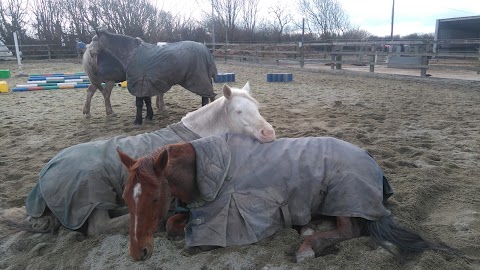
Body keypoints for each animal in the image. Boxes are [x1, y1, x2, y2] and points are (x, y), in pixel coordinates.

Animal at [3, 82, 276, 236]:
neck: (196, 137)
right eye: (239, 112)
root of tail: (45, 172)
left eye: (258, 109)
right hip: (92, 194)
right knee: (99, 227)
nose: (269, 133)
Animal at [90, 29, 218, 126]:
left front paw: (137, 121)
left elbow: (139, 103)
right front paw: (148, 117)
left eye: (94, 40)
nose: (90, 53)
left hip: (199, 79)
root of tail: (205, 49)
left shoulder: (139, 83)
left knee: (205, 96)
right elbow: (147, 101)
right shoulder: (145, 83)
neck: (132, 54)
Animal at [118, 134, 456, 262]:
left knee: (349, 230)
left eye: (154, 198)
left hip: (343, 195)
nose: (138, 253)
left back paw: (307, 245)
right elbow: (173, 224)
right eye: (126, 198)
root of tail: (371, 161)